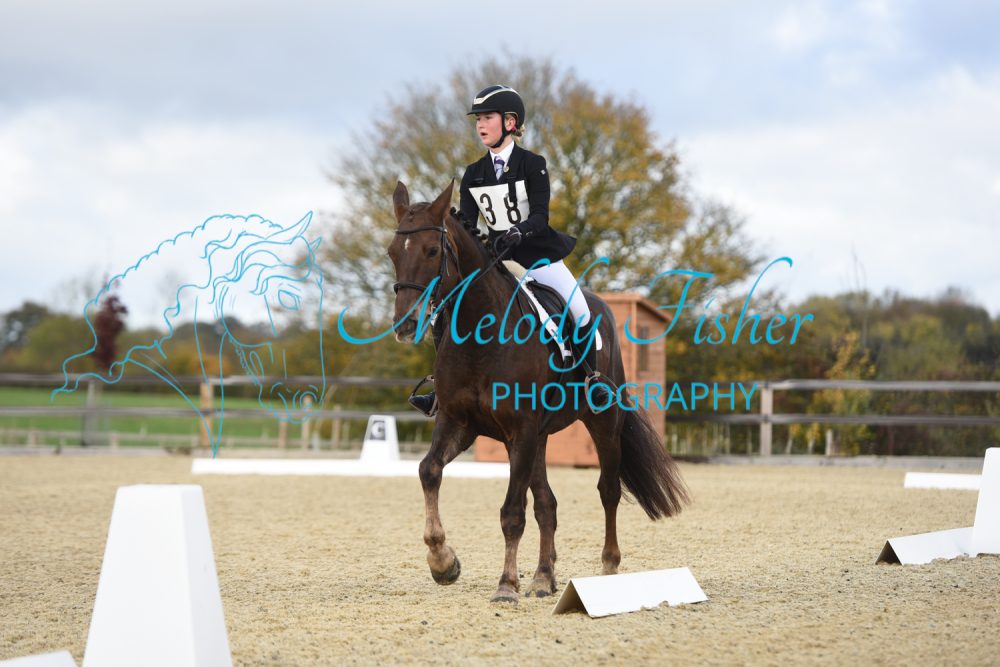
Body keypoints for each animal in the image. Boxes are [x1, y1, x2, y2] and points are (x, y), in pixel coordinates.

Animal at [387, 180, 689, 603]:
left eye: (432, 250)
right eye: (392, 253)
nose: (405, 324)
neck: (480, 335)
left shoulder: (522, 429)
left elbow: (512, 513)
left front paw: (505, 585)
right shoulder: (459, 422)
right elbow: (428, 471)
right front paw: (443, 562)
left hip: (601, 424)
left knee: (608, 490)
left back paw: (608, 568)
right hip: (538, 438)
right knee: (548, 503)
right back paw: (544, 578)